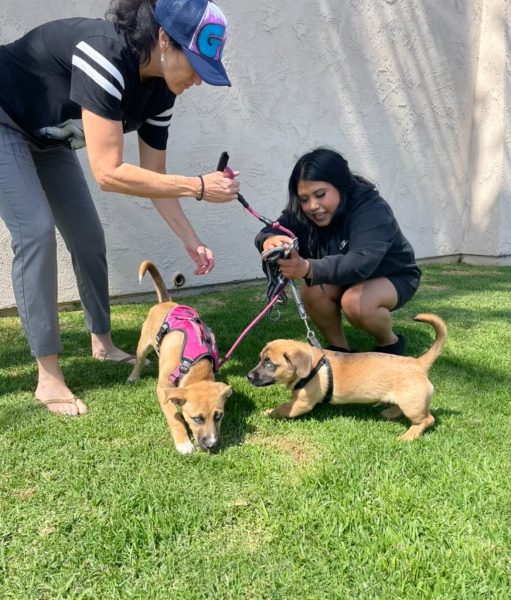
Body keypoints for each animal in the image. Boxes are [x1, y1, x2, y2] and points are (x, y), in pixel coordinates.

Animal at [128, 260, 232, 452]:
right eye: (197, 418)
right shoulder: (163, 390)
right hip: (144, 342)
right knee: (139, 359)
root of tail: (165, 302)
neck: (194, 368)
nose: (212, 445)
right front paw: (183, 443)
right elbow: (174, 418)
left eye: (218, 416)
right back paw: (133, 376)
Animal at [249, 314, 448, 440]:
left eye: (269, 363)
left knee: (427, 420)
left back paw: (409, 436)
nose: (248, 377)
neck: (312, 366)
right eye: (260, 359)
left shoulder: (301, 404)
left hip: (412, 403)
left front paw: (267, 413)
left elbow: (282, 408)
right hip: (407, 401)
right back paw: (390, 413)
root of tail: (419, 363)